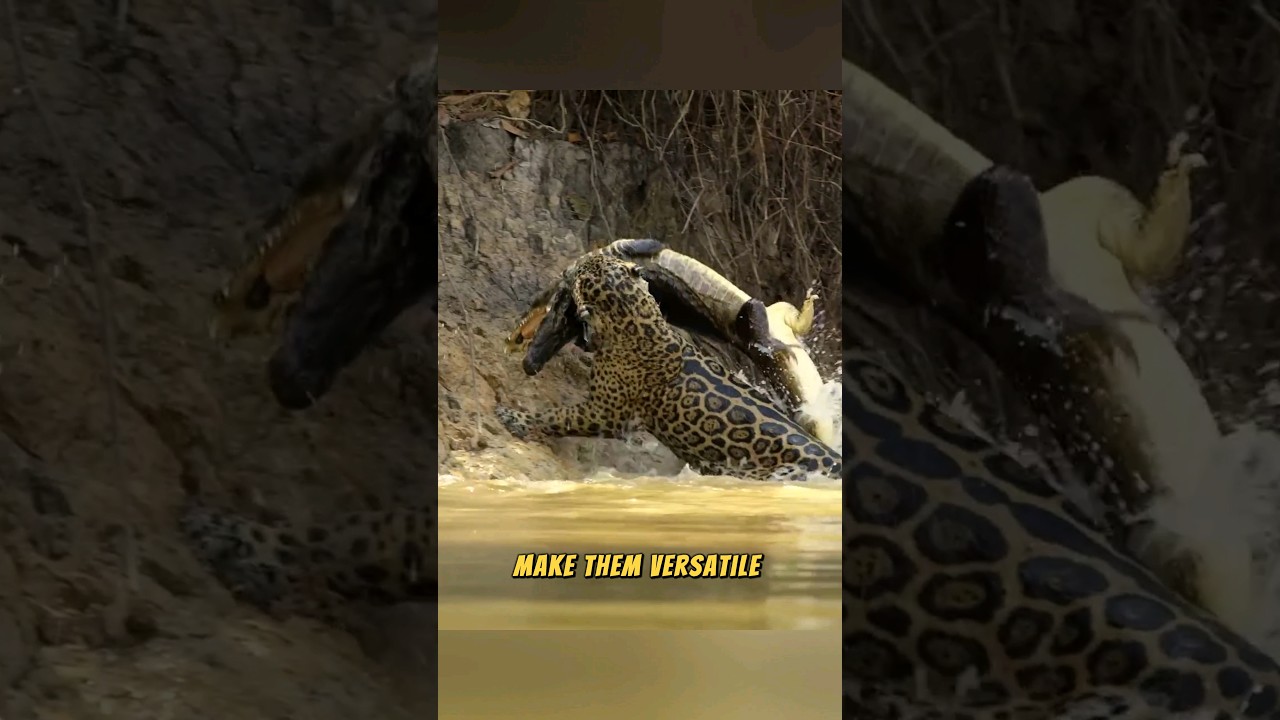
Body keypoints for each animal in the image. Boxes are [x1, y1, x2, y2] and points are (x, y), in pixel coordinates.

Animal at [493, 253, 841, 482]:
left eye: (581, 269)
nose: (568, 266)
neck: (634, 317)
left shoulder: (605, 413)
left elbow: (558, 416)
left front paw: (513, 417)